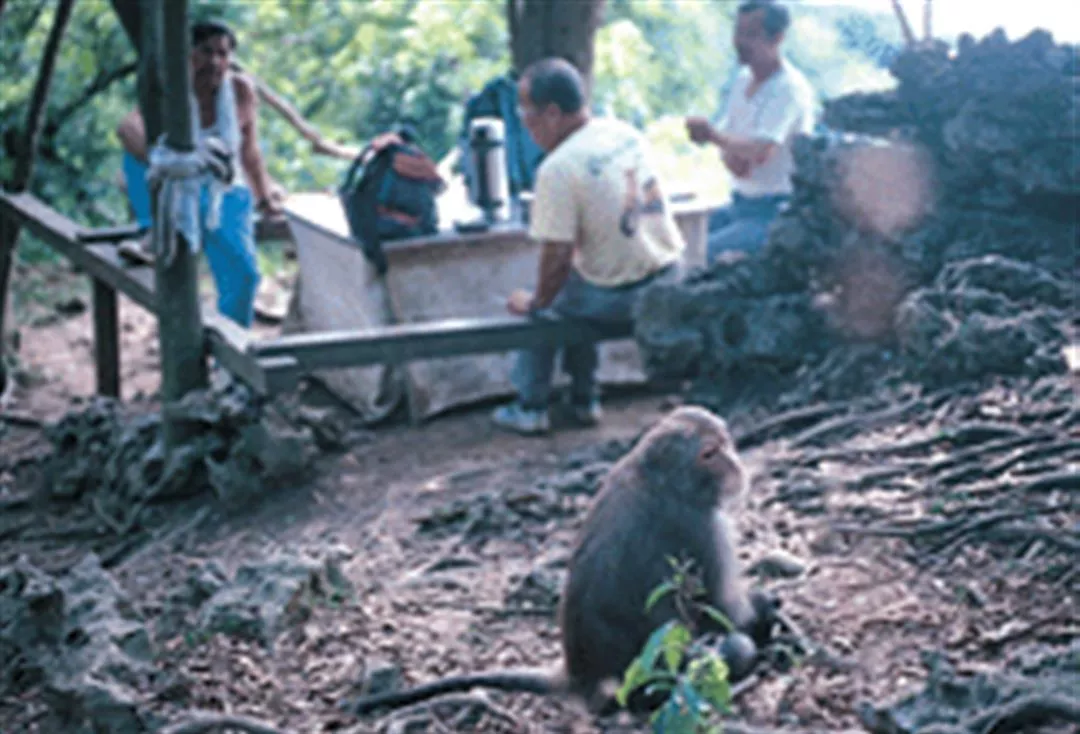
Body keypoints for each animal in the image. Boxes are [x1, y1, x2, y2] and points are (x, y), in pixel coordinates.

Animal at [349, 405, 774, 716]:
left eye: (725, 444)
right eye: (709, 454)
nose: (736, 465)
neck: (659, 477)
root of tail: (577, 674)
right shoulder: (702, 527)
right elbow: (728, 613)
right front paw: (767, 614)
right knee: (732, 649)